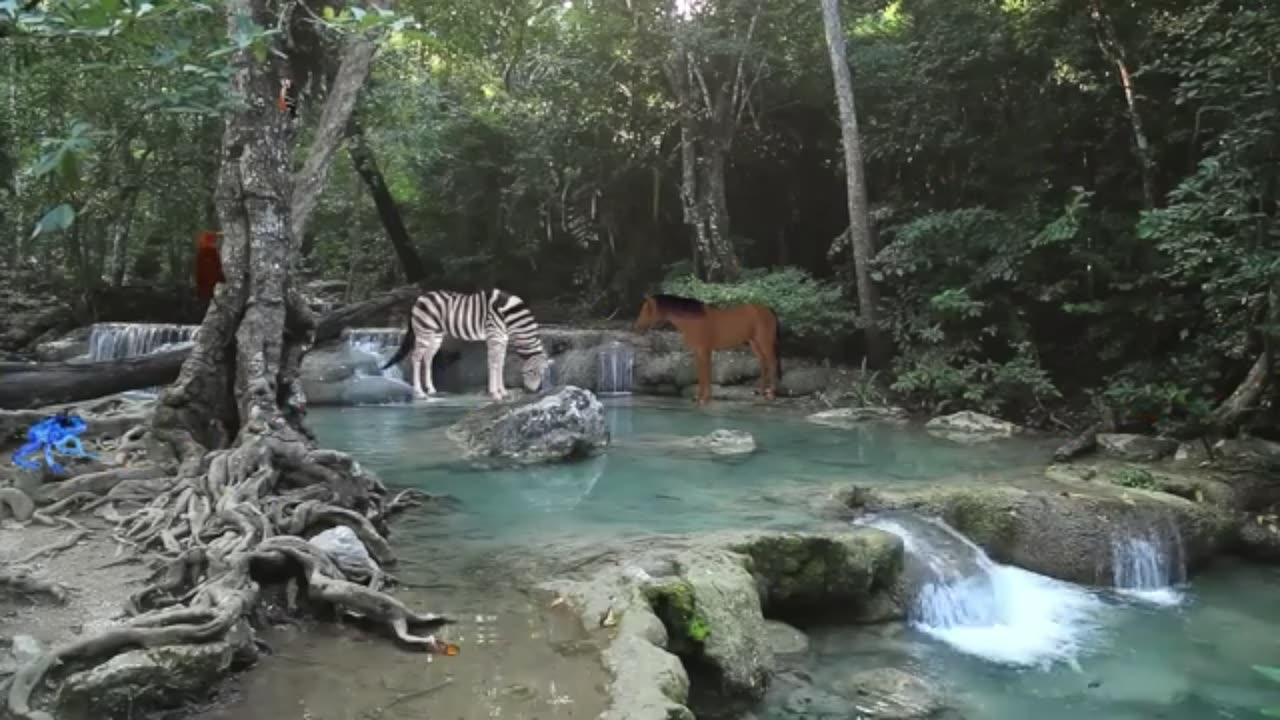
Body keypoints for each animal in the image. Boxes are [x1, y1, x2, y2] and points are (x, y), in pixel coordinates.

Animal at [378, 286, 550, 397]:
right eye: (531, 371)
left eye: (542, 373)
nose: (535, 391)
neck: (507, 313)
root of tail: (419, 298)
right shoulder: (493, 336)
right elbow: (493, 363)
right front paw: (495, 393)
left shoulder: (503, 338)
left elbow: (500, 364)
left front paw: (503, 391)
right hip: (424, 332)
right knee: (416, 358)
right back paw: (419, 392)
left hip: (436, 336)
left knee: (428, 358)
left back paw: (431, 389)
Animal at [632, 293, 778, 404]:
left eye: (645, 310)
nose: (637, 327)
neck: (695, 320)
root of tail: (767, 310)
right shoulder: (698, 352)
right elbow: (701, 373)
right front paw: (699, 397)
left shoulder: (704, 350)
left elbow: (706, 373)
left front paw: (704, 399)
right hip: (754, 343)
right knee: (763, 362)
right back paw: (760, 391)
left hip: (764, 341)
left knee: (771, 362)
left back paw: (771, 394)